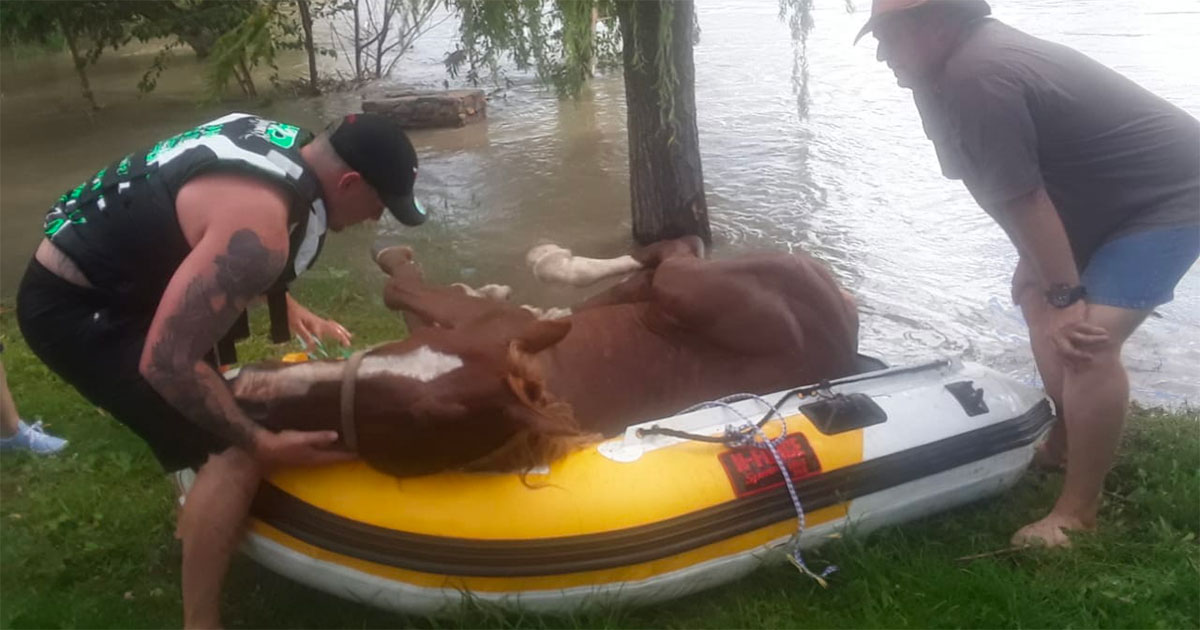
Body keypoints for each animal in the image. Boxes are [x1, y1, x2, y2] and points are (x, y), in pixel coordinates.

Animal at [229, 237, 860, 477]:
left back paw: (553, 263)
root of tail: (846, 323)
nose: (252, 391)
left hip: (688, 288)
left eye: (416, 420)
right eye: (394, 351)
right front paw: (488, 287)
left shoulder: (476, 324)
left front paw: (399, 257)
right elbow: (415, 303)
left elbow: (399, 285)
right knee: (652, 265)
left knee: (672, 252)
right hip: (667, 295)